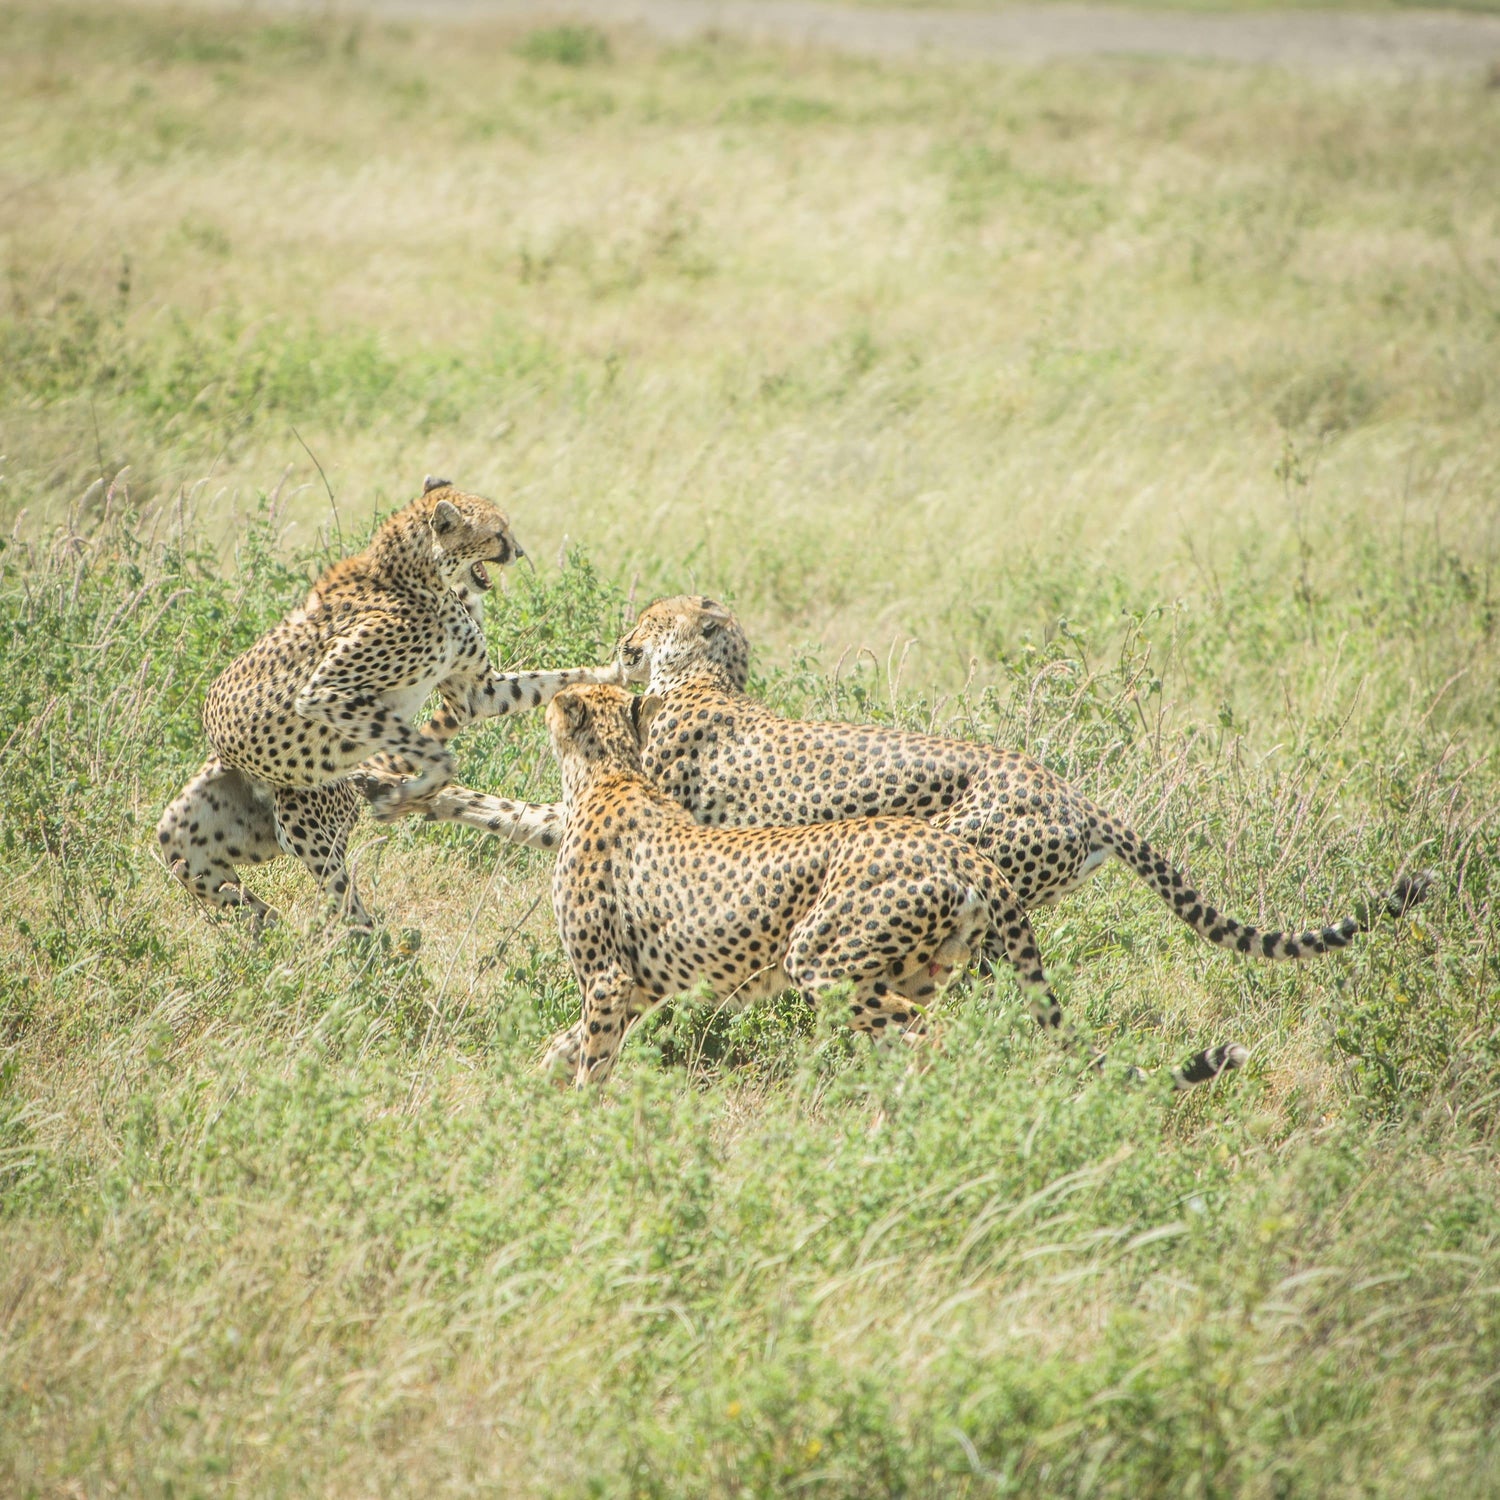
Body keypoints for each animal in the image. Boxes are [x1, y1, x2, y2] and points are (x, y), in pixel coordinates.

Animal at [156, 477, 622, 927]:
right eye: (497, 533)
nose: (519, 552)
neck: (423, 579)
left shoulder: (478, 693)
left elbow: (554, 680)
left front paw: (619, 671)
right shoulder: (327, 693)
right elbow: (434, 753)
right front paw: (406, 795)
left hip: (207, 844)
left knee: (263, 907)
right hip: (276, 831)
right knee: (345, 910)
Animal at [403, 594, 1432, 1045]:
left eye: (654, 616)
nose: (623, 635)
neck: (706, 682)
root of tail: (1078, 795)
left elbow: (536, 814)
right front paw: (421, 790)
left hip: (946, 885)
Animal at [536, 685, 1245, 1088]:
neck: (608, 773)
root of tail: (956, 849)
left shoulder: (610, 980)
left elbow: (593, 1060)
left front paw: (579, 1133)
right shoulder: (640, 986)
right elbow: (570, 1048)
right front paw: (536, 1093)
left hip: (822, 959)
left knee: (935, 1038)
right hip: (915, 968)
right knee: (917, 1037)